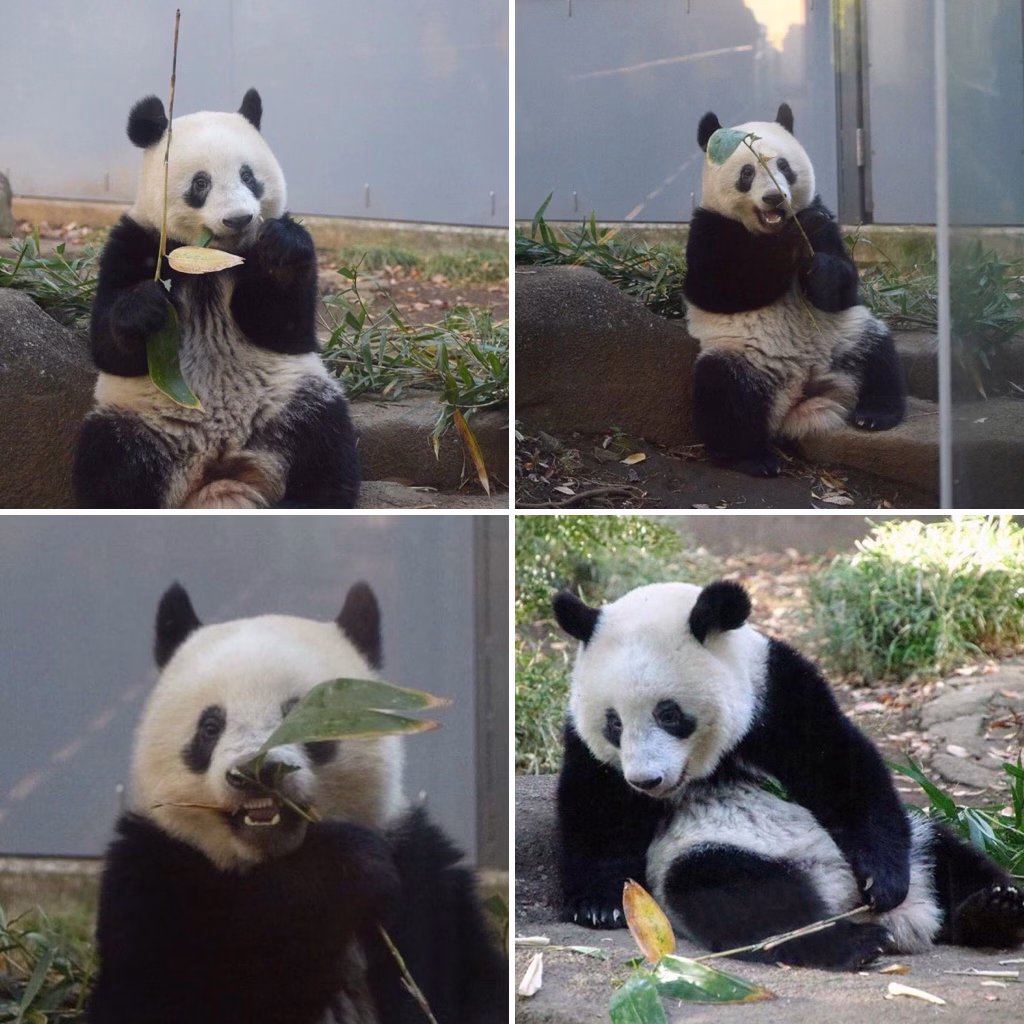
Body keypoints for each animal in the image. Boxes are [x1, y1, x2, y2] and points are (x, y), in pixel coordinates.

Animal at [72, 89, 359, 508]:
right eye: (200, 183)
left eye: (248, 176)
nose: (239, 219)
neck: (211, 259)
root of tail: (219, 472)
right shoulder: (135, 242)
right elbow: (111, 349)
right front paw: (146, 307)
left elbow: (285, 327)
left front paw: (281, 248)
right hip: (139, 423)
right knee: (110, 465)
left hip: (289, 402)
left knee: (325, 440)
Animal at [87, 582, 506, 1024]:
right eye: (210, 727)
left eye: (304, 716)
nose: (255, 772)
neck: (272, 860)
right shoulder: (152, 876)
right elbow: (167, 992)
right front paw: (336, 869)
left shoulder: (421, 874)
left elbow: (467, 982)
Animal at [553, 579, 1024, 970]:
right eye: (613, 723)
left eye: (669, 714)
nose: (645, 781)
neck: (707, 767)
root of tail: (840, 896)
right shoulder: (591, 747)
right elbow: (597, 814)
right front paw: (600, 905)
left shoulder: (777, 690)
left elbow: (842, 769)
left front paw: (885, 882)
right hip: (711, 853)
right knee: (741, 896)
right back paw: (852, 941)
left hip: (917, 838)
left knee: (950, 857)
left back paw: (992, 910)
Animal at [683, 103, 907, 477]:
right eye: (747, 173)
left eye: (785, 167)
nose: (774, 197)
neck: (766, 230)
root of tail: (803, 389)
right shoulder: (709, 229)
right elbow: (720, 289)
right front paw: (788, 245)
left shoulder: (826, 221)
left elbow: (843, 285)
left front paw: (816, 269)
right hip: (743, 358)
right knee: (723, 393)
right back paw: (752, 457)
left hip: (846, 338)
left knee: (879, 355)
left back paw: (876, 414)